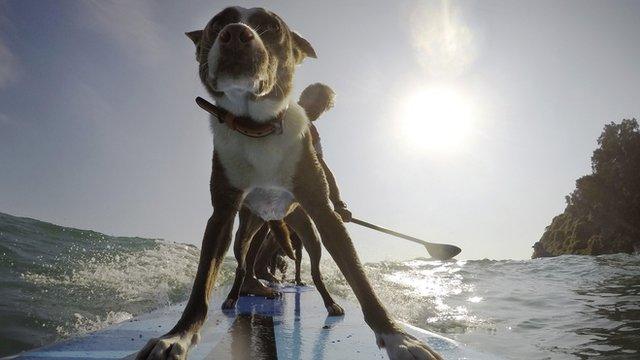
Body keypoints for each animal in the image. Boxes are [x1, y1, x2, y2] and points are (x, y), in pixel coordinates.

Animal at [136, 5, 440, 360]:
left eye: (271, 27)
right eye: (217, 23)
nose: (235, 33)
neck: (257, 129)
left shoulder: (322, 211)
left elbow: (360, 279)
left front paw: (399, 339)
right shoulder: (221, 215)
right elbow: (201, 284)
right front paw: (177, 336)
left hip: (307, 232)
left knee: (316, 273)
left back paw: (330, 302)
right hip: (248, 229)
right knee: (243, 266)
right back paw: (234, 297)